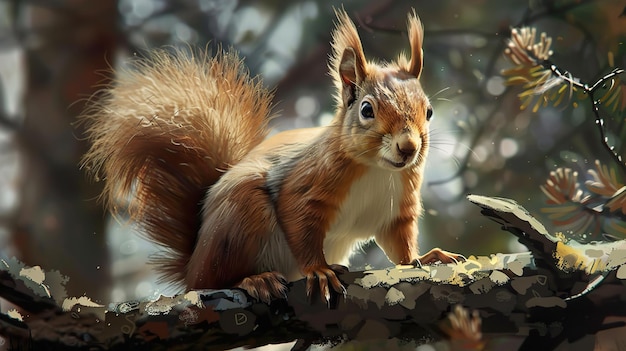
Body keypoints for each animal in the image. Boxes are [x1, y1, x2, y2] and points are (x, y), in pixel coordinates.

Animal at [80, 8, 460, 306]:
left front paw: (423, 257)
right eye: (367, 109)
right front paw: (318, 270)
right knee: (212, 281)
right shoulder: (307, 185)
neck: (377, 169)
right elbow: (300, 222)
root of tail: (192, 265)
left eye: (428, 112)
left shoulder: (399, 206)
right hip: (239, 216)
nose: (408, 147)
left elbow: (399, 243)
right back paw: (254, 280)